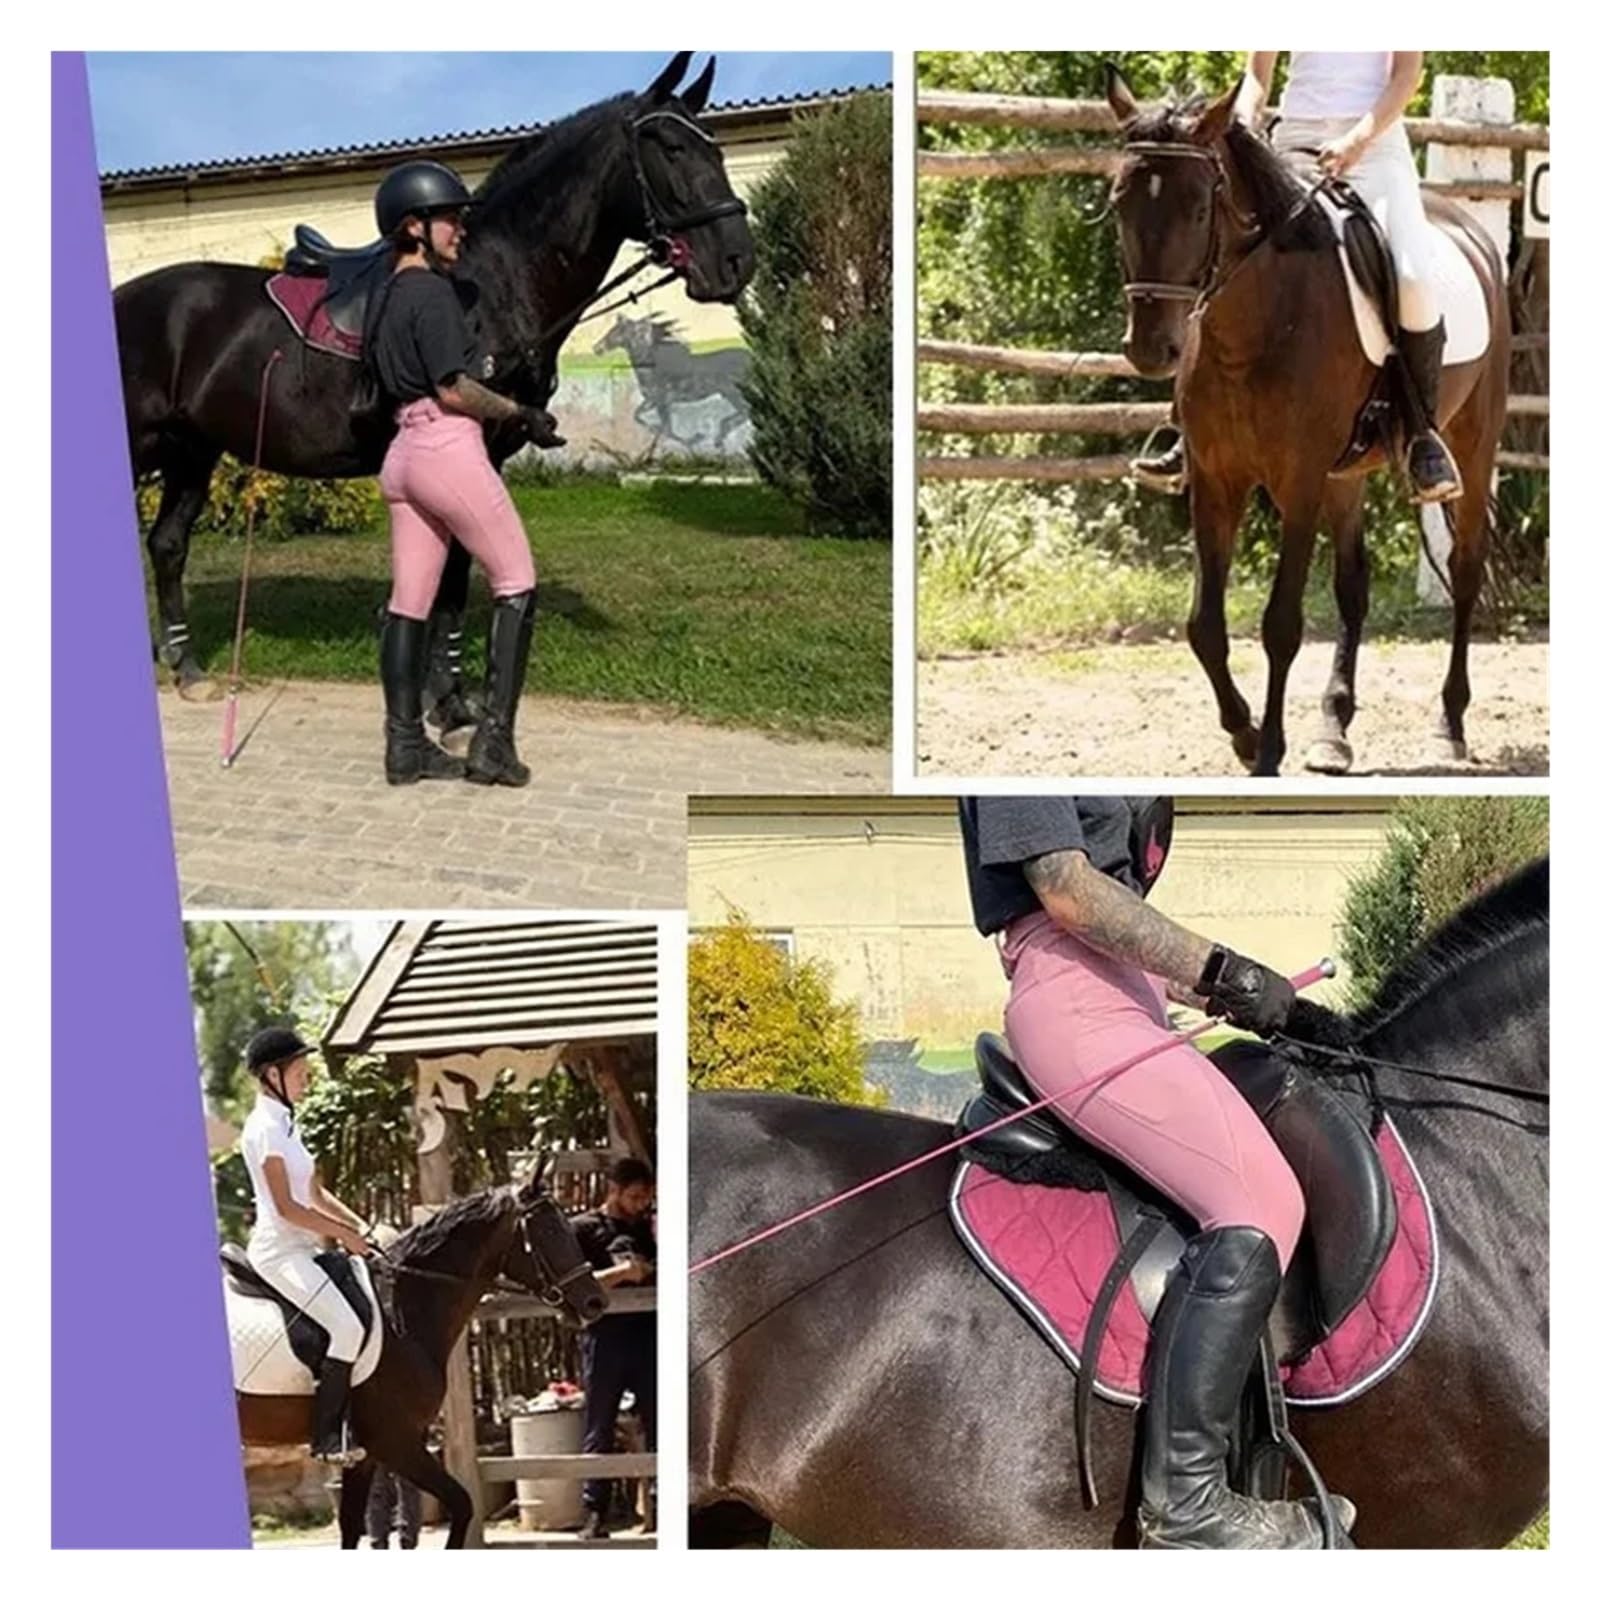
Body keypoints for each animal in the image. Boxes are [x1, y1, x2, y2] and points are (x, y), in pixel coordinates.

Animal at [116, 51, 755, 696]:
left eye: (717, 151)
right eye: (669, 148)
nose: (736, 262)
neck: (490, 285)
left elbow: (454, 574)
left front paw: (446, 688)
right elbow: (449, 575)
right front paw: (440, 694)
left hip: (192, 449)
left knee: (168, 544)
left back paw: (186, 667)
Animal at [234, 1175, 605, 1548]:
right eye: (549, 1231)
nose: (595, 1302)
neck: (401, 1314)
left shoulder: (366, 1453)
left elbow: (352, 1525)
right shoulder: (396, 1441)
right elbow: (462, 1503)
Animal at [1104, 70, 1511, 777]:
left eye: (1199, 208)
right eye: (1120, 200)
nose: (1152, 349)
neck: (1257, 322)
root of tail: (1471, 226)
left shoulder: (1298, 482)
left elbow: (1281, 624)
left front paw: (1267, 750)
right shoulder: (1215, 479)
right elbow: (1203, 625)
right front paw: (1243, 734)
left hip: (1472, 441)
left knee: (1463, 570)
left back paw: (1449, 724)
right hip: (1346, 473)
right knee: (1354, 586)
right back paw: (1333, 729)